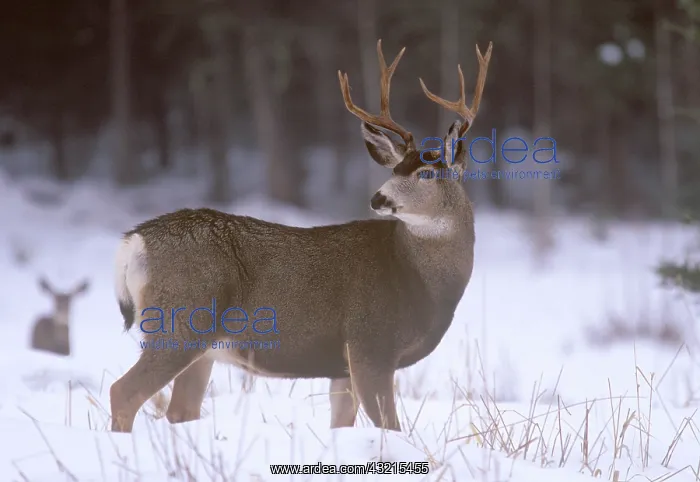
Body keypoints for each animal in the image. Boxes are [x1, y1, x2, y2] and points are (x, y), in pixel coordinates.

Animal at [109, 39, 493, 433]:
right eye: (395, 170)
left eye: (427, 174)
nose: (378, 198)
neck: (420, 282)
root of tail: (133, 241)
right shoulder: (370, 344)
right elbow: (389, 426)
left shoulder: (343, 367)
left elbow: (342, 423)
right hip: (182, 319)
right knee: (123, 392)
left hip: (203, 348)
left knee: (179, 411)